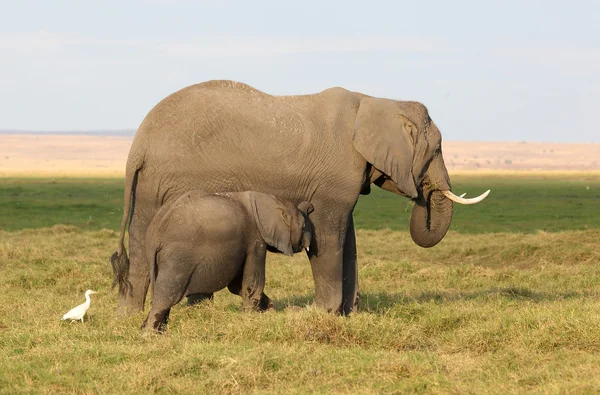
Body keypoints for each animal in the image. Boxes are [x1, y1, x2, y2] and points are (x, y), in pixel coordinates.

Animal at [110, 79, 490, 316]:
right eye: (437, 148)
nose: (423, 191)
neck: (375, 101)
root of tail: (138, 143)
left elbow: (348, 238)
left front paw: (350, 313)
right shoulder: (334, 177)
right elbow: (329, 235)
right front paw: (322, 312)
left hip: (151, 186)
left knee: (142, 240)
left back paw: (126, 316)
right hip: (174, 179)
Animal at [139, 190, 310, 332]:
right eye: (303, 226)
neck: (267, 199)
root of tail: (155, 234)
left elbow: (237, 285)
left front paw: (269, 311)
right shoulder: (256, 239)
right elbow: (252, 283)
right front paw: (250, 317)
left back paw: (154, 330)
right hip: (178, 257)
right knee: (167, 296)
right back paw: (150, 333)